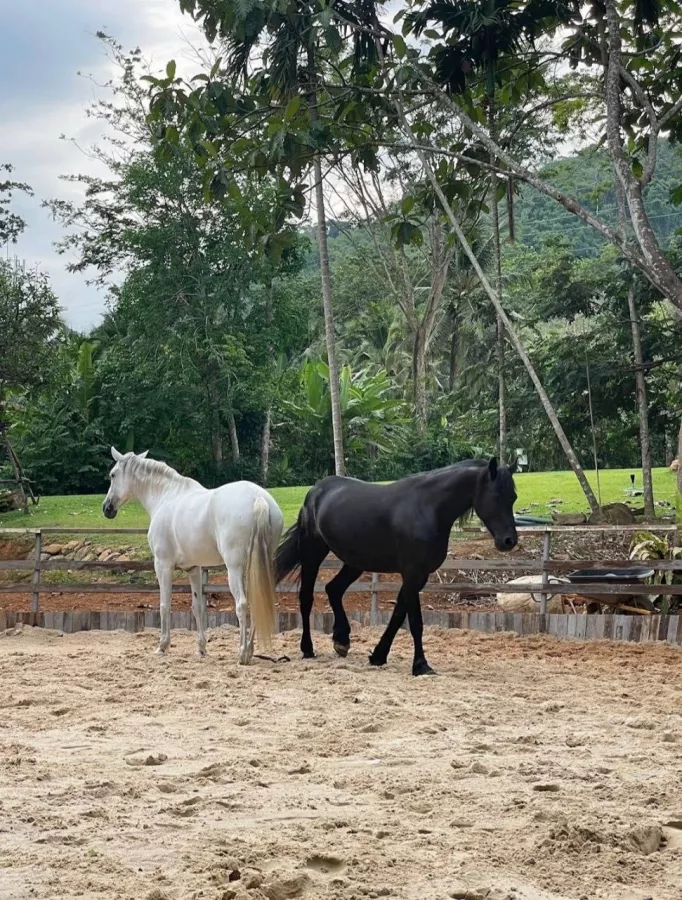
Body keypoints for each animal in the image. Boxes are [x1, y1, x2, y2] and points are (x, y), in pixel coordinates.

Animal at [102, 448, 283, 662]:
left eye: (113, 475)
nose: (107, 508)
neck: (166, 496)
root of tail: (258, 498)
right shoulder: (193, 569)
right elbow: (197, 608)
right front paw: (201, 648)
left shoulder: (163, 565)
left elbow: (164, 605)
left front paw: (162, 646)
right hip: (257, 566)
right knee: (257, 602)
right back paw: (250, 651)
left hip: (235, 569)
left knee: (242, 605)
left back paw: (242, 653)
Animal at [275, 457, 518, 676]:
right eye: (496, 496)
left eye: (513, 497)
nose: (509, 541)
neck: (428, 509)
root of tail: (316, 491)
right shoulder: (412, 573)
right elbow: (415, 621)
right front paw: (421, 665)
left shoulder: (419, 576)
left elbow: (398, 615)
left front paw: (378, 656)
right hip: (313, 553)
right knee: (307, 598)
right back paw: (308, 649)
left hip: (355, 563)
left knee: (333, 589)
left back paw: (341, 641)